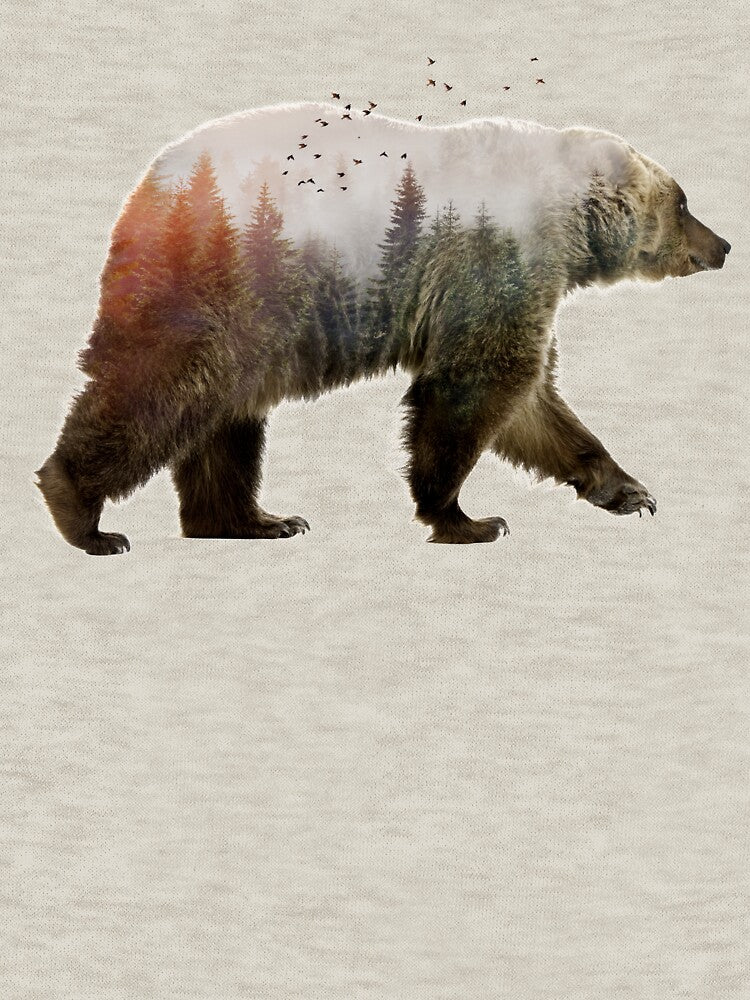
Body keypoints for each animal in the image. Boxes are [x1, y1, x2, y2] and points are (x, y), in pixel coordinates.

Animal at [35, 101, 731, 553]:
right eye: (684, 202)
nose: (723, 245)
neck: (562, 215)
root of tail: (148, 187)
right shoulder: (492, 261)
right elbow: (476, 385)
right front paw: (466, 518)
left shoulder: (520, 287)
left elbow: (535, 402)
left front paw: (627, 489)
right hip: (224, 279)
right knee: (161, 389)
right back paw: (83, 515)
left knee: (225, 416)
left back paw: (255, 520)